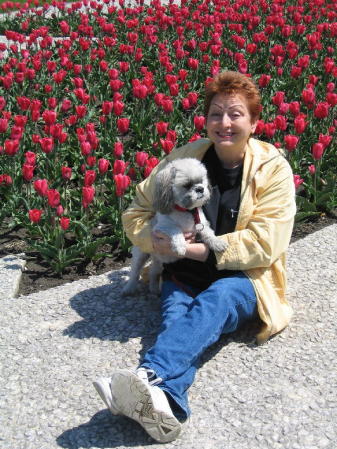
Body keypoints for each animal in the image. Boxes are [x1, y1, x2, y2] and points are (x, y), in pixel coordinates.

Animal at [122, 158, 227, 298]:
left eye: (201, 181)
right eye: (187, 185)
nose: (200, 189)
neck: (187, 211)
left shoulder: (202, 225)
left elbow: (209, 235)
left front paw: (217, 242)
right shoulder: (162, 227)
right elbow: (176, 230)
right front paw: (180, 246)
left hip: (159, 264)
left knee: (153, 272)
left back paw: (154, 288)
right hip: (141, 255)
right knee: (135, 273)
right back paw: (129, 288)